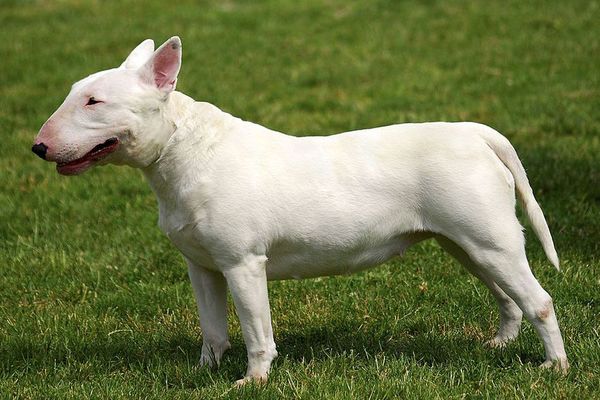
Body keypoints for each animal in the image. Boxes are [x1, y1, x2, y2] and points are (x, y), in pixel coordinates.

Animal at [31, 37, 568, 384]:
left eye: (94, 101)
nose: (38, 147)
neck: (185, 150)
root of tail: (475, 132)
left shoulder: (243, 263)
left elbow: (256, 331)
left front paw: (252, 381)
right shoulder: (202, 266)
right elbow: (212, 329)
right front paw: (203, 372)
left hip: (490, 240)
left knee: (538, 300)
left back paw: (555, 368)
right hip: (464, 243)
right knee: (506, 296)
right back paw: (499, 344)